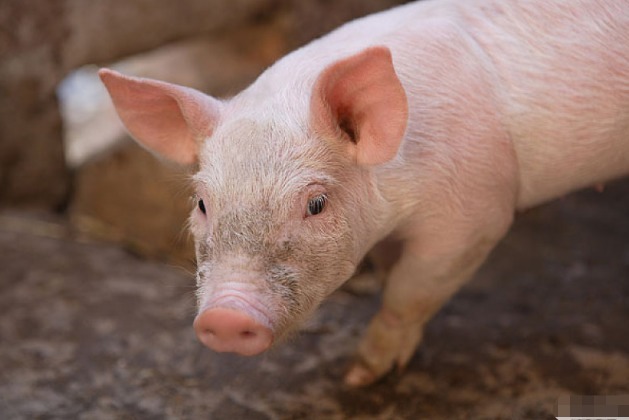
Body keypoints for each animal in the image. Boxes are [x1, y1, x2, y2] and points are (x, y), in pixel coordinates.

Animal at [99, 0, 628, 388]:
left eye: (316, 204)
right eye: (203, 203)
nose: (225, 317)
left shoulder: (478, 210)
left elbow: (410, 290)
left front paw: (357, 377)